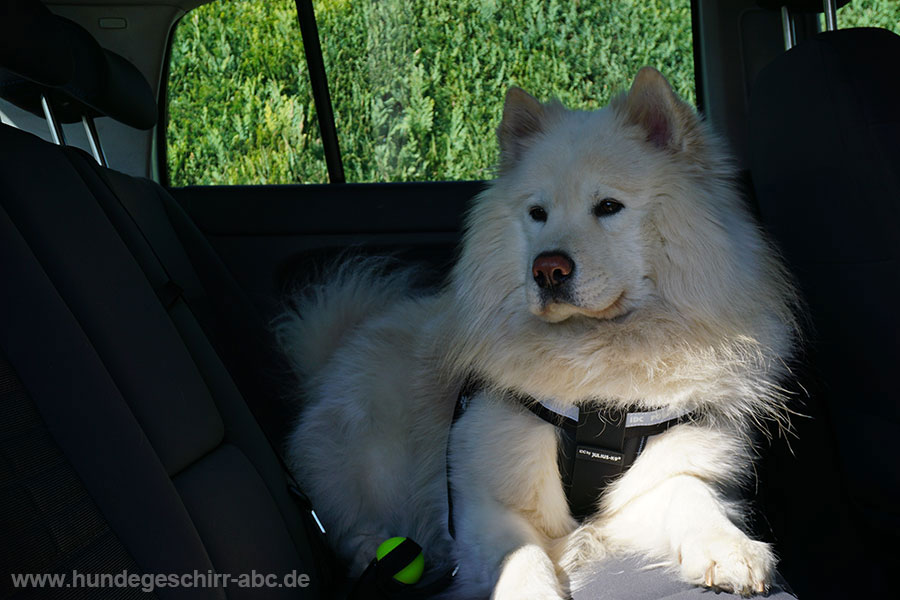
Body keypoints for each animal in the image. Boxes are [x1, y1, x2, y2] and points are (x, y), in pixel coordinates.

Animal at [278, 68, 800, 596]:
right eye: (537, 213)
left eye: (608, 206)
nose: (547, 269)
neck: (596, 382)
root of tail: (339, 346)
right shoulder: (484, 498)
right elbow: (521, 558)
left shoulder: (661, 472)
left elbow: (693, 498)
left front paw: (729, 550)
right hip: (371, 463)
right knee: (347, 520)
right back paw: (374, 552)